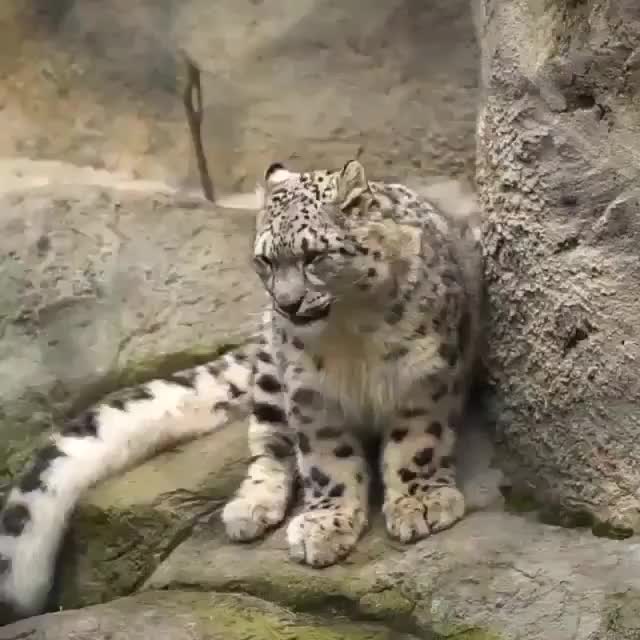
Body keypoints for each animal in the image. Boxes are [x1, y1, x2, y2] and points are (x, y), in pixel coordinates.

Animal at [0, 159, 483, 625]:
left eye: (315, 256)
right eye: (265, 261)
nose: (286, 304)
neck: (350, 334)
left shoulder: (424, 377)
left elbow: (418, 443)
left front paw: (421, 502)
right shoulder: (311, 397)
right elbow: (327, 461)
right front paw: (325, 523)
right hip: (271, 376)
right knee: (268, 445)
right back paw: (249, 508)